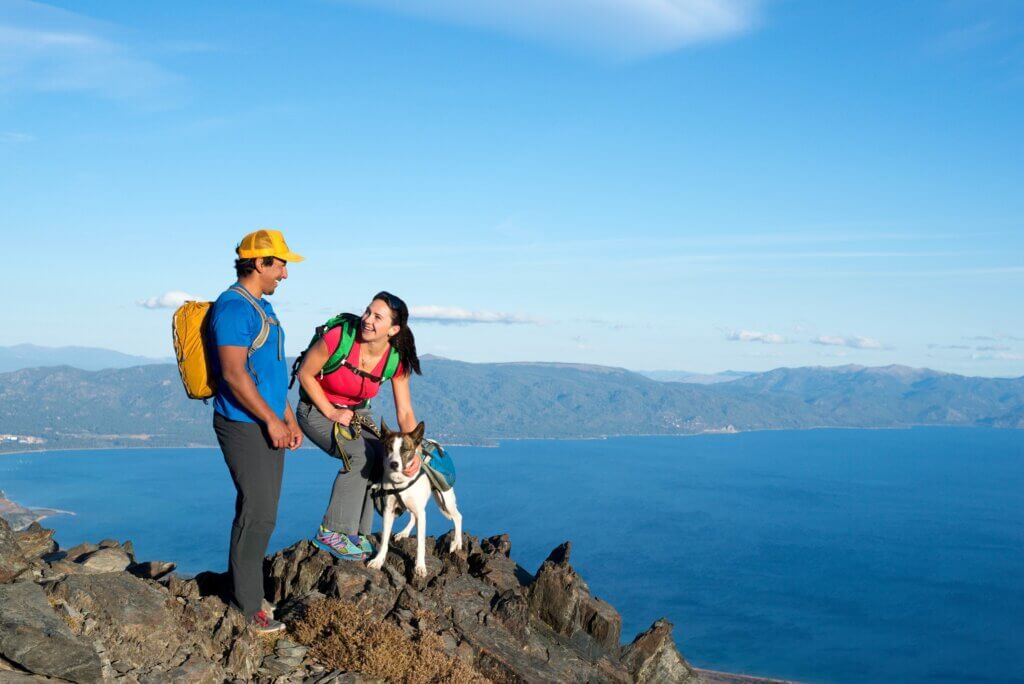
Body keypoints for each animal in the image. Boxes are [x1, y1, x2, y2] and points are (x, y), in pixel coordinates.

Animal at [368, 419, 464, 573]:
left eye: (405, 449)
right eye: (389, 448)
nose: (393, 464)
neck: (401, 480)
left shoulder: (421, 513)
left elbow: (420, 543)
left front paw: (420, 566)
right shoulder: (388, 511)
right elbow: (384, 540)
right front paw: (378, 560)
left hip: (445, 499)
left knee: (458, 517)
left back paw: (457, 542)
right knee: (413, 516)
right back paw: (404, 532)